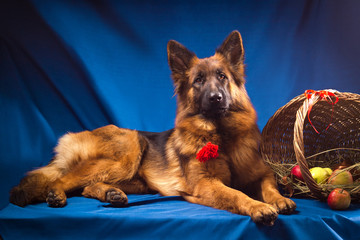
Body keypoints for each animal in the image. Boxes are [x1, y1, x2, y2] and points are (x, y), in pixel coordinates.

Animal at [10, 31, 296, 225]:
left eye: (222, 77)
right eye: (198, 81)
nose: (216, 98)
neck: (220, 135)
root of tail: (81, 133)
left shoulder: (261, 174)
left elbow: (270, 187)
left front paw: (279, 200)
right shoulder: (207, 184)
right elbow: (236, 194)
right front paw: (257, 207)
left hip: (135, 180)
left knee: (88, 187)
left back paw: (111, 194)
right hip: (129, 149)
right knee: (62, 180)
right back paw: (56, 194)